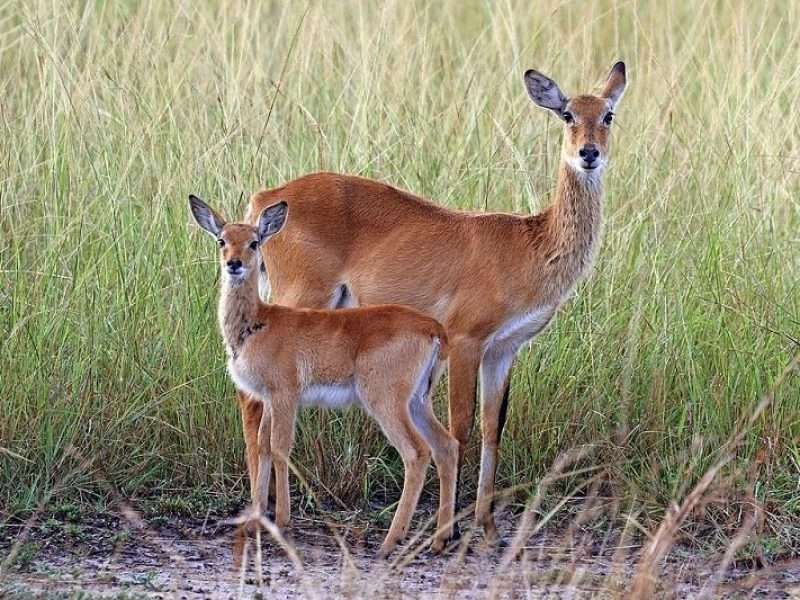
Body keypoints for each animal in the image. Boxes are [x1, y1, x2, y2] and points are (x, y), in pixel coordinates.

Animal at [188, 197, 460, 556]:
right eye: (222, 240)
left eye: (254, 242)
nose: (235, 264)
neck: (258, 324)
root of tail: (435, 329)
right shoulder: (268, 398)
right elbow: (261, 445)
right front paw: (256, 520)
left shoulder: (285, 395)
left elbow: (279, 447)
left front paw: (282, 521)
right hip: (418, 400)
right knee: (447, 446)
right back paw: (440, 539)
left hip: (386, 401)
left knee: (416, 453)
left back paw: (390, 541)